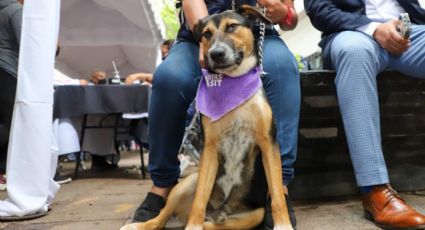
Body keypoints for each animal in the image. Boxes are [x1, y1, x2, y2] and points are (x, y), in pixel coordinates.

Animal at [119, 5, 292, 230]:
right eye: (206, 34)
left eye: (232, 26)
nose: (216, 54)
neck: (233, 85)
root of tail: (218, 212)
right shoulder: (209, 149)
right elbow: (200, 199)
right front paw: (194, 225)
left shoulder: (268, 144)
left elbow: (278, 195)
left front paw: (283, 225)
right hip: (186, 184)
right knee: (163, 217)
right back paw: (142, 224)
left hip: (255, 215)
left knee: (217, 225)